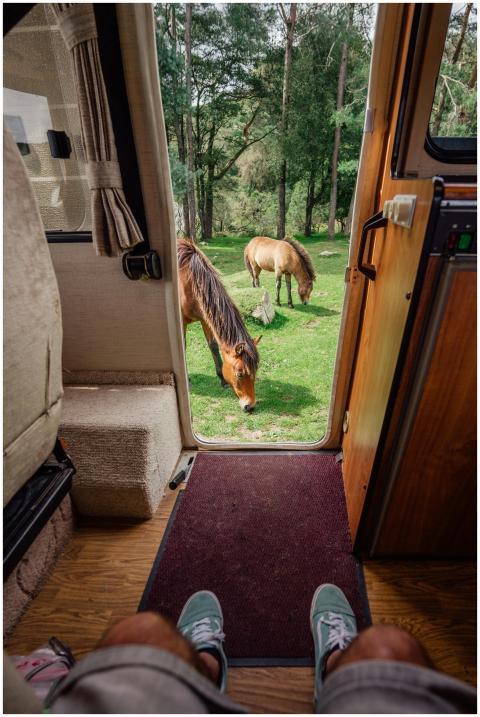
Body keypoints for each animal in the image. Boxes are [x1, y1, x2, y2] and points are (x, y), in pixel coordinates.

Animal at [178, 238, 261, 412]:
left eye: (255, 370)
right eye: (240, 374)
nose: (250, 406)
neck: (188, 281)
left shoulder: (205, 318)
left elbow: (213, 346)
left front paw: (222, 379)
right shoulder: (181, 321)